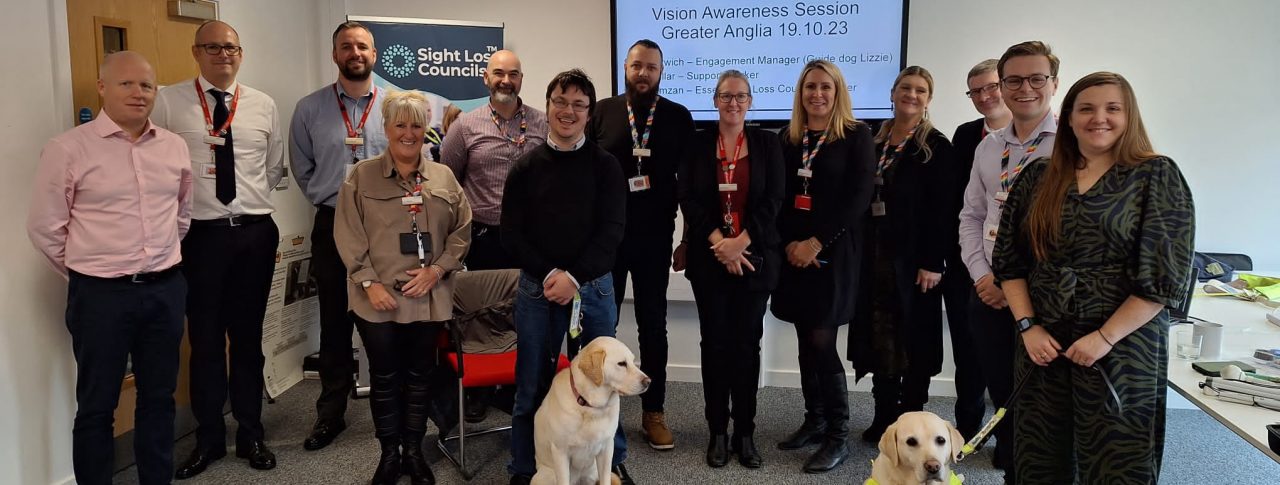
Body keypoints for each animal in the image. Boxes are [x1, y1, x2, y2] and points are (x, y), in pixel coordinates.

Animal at [529, 337, 650, 485]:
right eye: (622, 363)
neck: (590, 407)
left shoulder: (607, 448)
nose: (649, 381)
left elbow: (605, 479)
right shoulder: (560, 451)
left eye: (633, 361)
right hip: (545, 476)